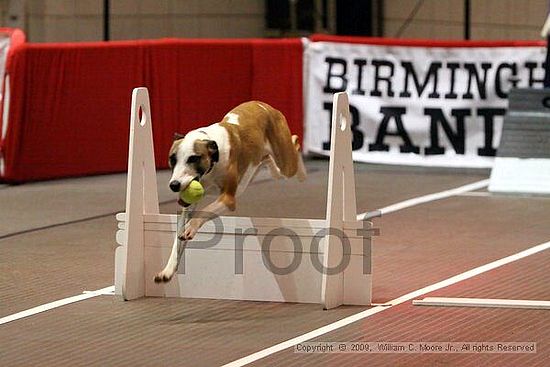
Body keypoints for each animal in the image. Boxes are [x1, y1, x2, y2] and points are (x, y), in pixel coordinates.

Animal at [155, 102, 306, 284]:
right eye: (172, 159)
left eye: (193, 158)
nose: (174, 185)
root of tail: (264, 105)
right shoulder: (189, 205)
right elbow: (177, 241)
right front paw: (168, 270)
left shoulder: (228, 200)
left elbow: (205, 211)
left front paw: (191, 227)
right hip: (260, 165)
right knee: (269, 161)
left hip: (286, 163)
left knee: (295, 144)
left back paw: (303, 172)